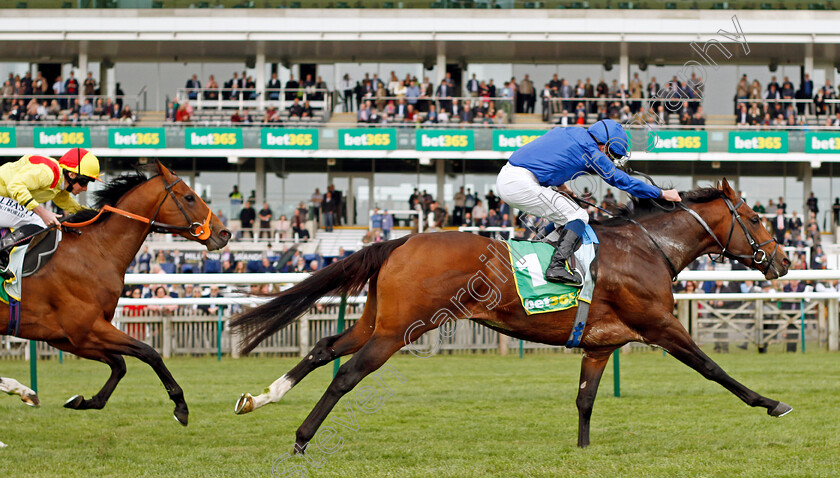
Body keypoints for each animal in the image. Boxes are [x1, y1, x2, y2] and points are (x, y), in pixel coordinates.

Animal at [0, 162, 230, 426]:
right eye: (190, 197)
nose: (224, 233)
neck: (96, 249)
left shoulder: (66, 337)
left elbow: (119, 364)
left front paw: (84, 401)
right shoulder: (87, 327)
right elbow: (149, 352)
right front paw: (180, 405)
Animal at [228, 179, 788, 452]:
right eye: (756, 217)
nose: (783, 261)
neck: (648, 248)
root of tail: (403, 239)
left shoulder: (601, 344)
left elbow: (585, 400)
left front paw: (582, 452)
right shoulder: (661, 326)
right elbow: (713, 368)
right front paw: (771, 403)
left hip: (377, 320)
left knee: (324, 349)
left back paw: (260, 398)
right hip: (400, 329)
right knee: (347, 374)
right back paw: (302, 439)